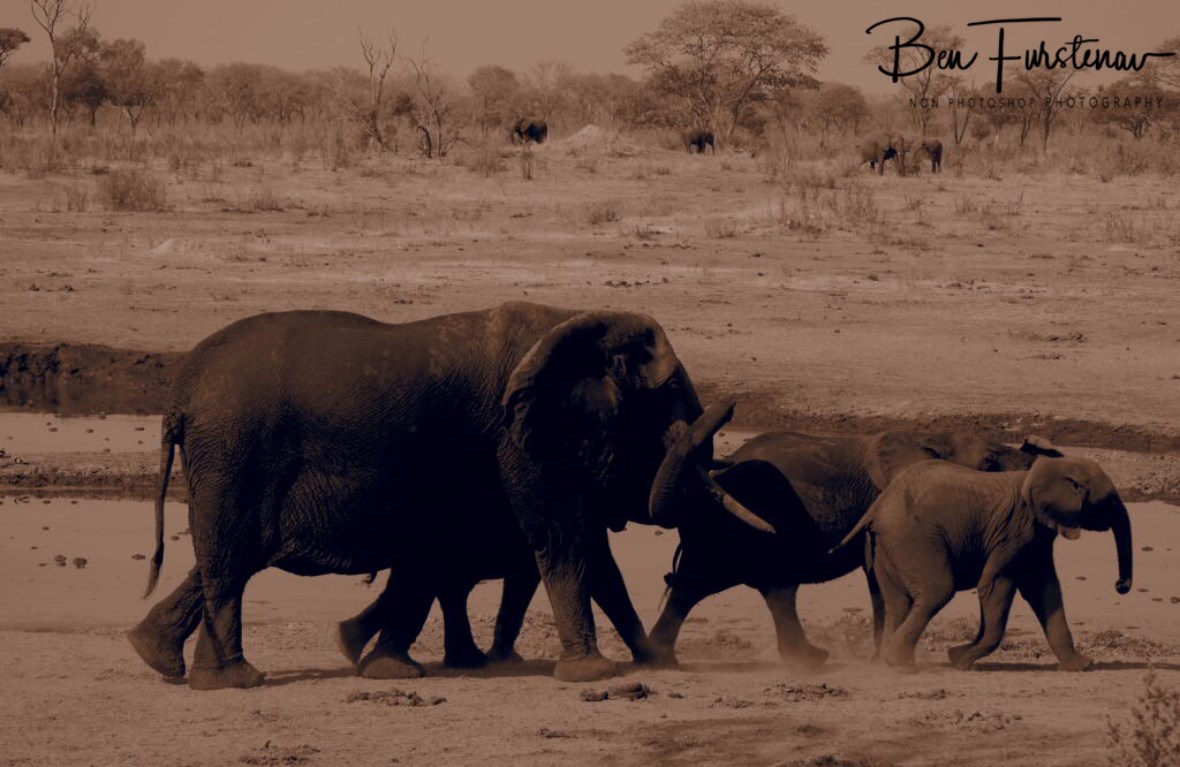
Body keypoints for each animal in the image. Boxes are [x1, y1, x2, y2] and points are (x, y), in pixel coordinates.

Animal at [126, 302, 770, 689]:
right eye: (669, 400)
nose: (730, 404)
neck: (573, 321)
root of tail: (180, 394)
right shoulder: (521, 439)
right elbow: (566, 539)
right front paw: (593, 675)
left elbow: (590, 555)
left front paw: (654, 663)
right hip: (234, 450)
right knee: (232, 556)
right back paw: (234, 680)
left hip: (226, 457)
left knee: (229, 557)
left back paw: (165, 660)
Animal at [647, 427, 1051, 668]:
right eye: (988, 461)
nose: (1036, 456)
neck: (930, 439)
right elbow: (876, 579)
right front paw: (880, 658)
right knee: (764, 587)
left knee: (698, 587)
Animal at [833, 456, 1133, 671]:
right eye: (1108, 501)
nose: (1119, 585)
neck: (1044, 469)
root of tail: (879, 505)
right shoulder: (1016, 531)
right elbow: (995, 584)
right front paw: (960, 661)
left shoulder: (1036, 535)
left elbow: (1044, 589)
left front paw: (1081, 667)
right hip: (913, 538)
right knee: (937, 591)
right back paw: (902, 664)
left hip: (885, 546)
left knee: (898, 602)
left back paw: (889, 663)